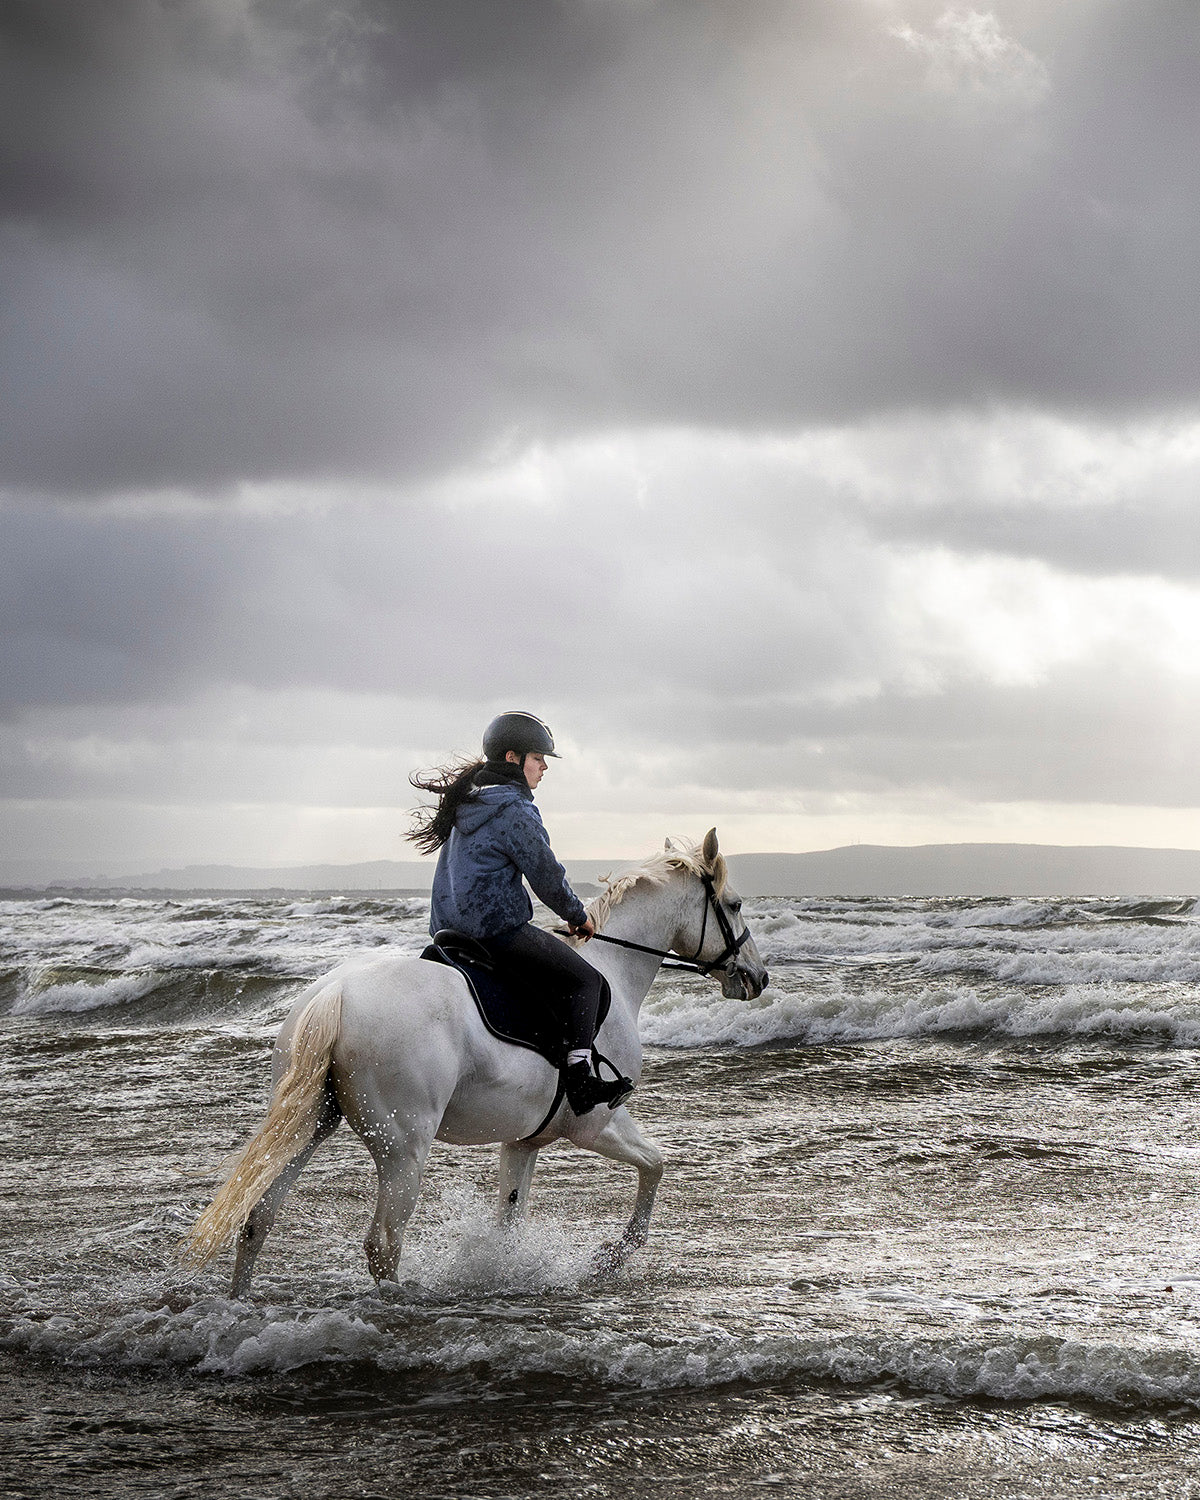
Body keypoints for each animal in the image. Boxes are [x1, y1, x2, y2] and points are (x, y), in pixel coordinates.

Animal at [184, 828, 768, 1294]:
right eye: (735, 904)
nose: (757, 978)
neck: (615, 971)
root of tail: (338, 994)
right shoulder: (597, 1123)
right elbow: (656, 1165)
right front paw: (610, 1258)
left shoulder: (523, 1141)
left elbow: (509, 1219)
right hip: (403, 1149)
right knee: (383, 1244)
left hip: (311, 1123)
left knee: (257, 1218)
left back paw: (240, 1303)